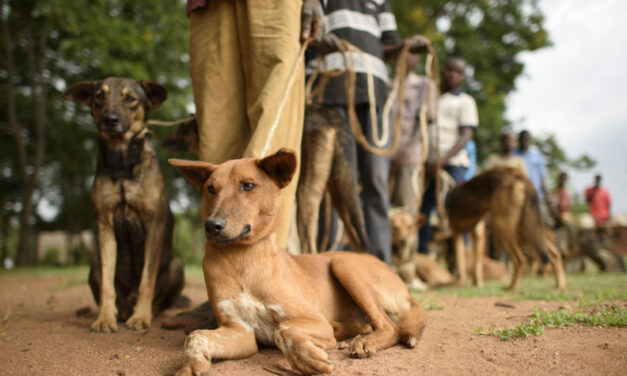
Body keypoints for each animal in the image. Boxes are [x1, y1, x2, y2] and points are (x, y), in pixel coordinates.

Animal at [65, 77, 185, 332]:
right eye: (99, 96)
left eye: (131, 99)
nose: (110, 119)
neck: (121, 163)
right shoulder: (104, 224)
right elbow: (107, 283)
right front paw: (105, 318)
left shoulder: (154, 224)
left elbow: (147, 279)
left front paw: (141, 317)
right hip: (93, 265)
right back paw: (119, 312)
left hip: (177, 266)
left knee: (159, 299)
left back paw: (148, 312)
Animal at [169, 150, 430, 376]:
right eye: (211, 189)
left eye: (248, 186)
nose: (212, 226)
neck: (241, 260)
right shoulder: (239, 332)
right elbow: (195, 336)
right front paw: (191, 365)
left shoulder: (310, 319)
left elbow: (283, 329)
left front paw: (305, 356)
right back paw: (346, 333)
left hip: (343, 263)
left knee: (390, 328)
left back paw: (362, 340)